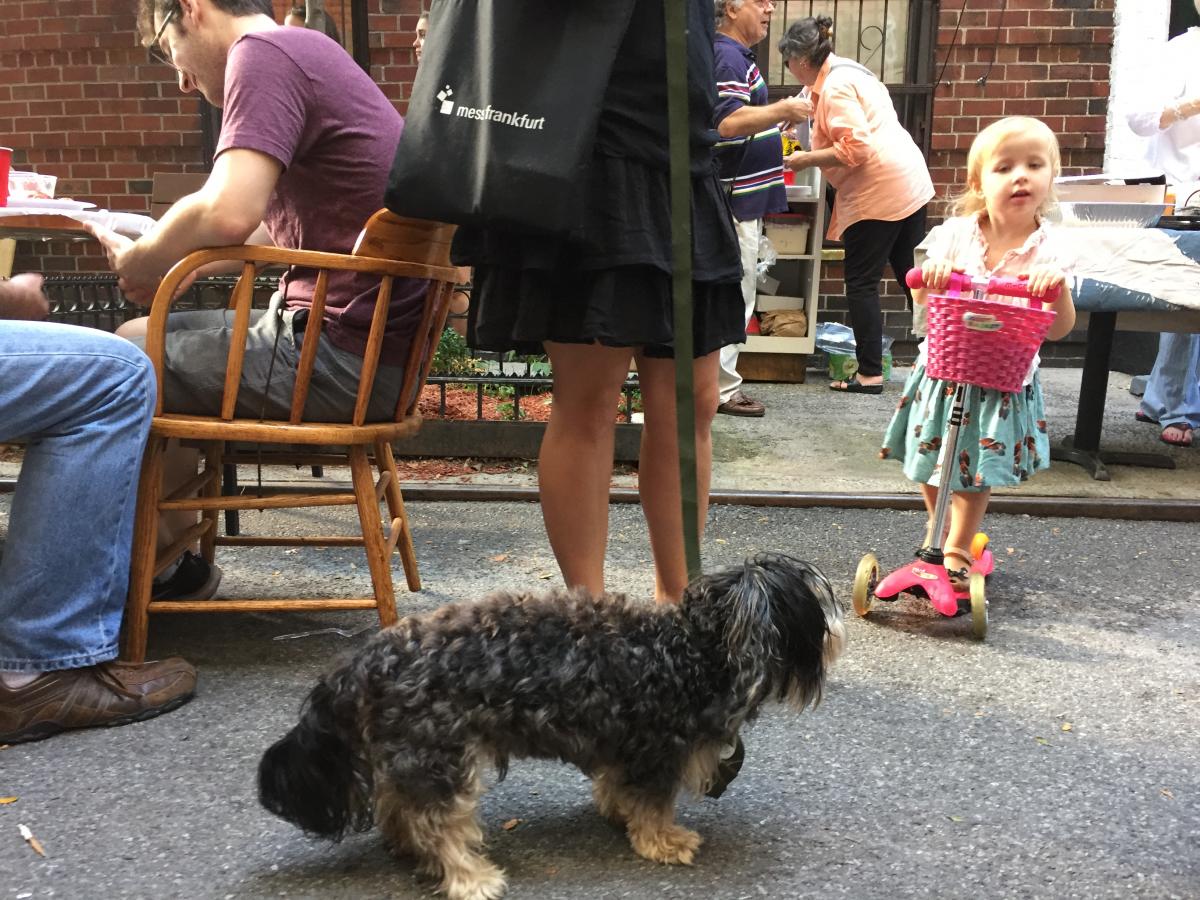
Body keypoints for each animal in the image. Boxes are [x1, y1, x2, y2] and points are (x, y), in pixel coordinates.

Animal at [259, 553, 845, 900]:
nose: (841, 631)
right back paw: (471, 878)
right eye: (817, 608)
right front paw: (663, 842)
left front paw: (618, 814)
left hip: (417, 754)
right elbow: (653, 806)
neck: (696, 649)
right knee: (437, 824)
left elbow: (618, 788)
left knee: (397, 806)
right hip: (442, 756)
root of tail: (364, 659)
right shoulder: (657, 751)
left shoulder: (626, 745)